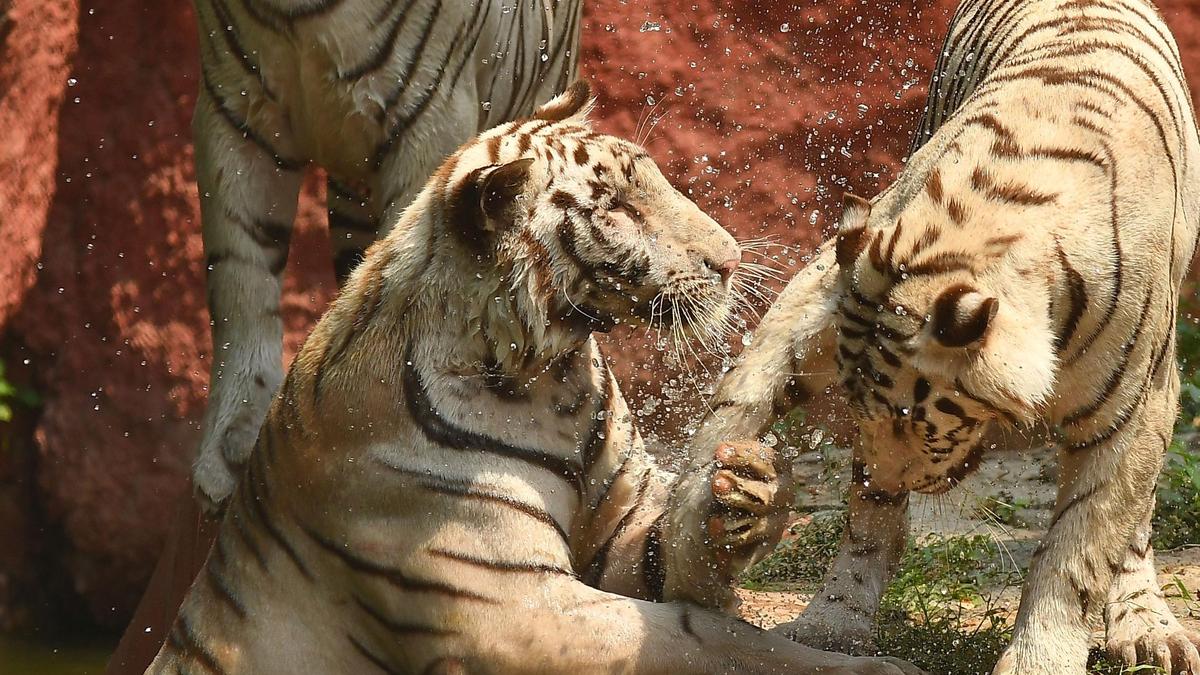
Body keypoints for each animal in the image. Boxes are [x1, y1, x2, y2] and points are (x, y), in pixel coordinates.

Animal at [145, 83, 923, 675]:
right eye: (617, 208)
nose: (730, 259)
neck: (551, 377)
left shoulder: (616, 531)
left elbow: (675, 564)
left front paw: (753, 489)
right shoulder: (516, 610)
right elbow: (707, 637)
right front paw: (878, 668)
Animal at [691, 0, 1200, 672]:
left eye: (913, 418)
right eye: (861, 408)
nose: (885, 479)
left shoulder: (1131, 410)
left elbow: (1081, 547)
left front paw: (1040, 657)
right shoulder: (836, 275)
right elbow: (752, 385)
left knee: (1134, 527)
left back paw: (1148, 627)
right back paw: (834, 620)